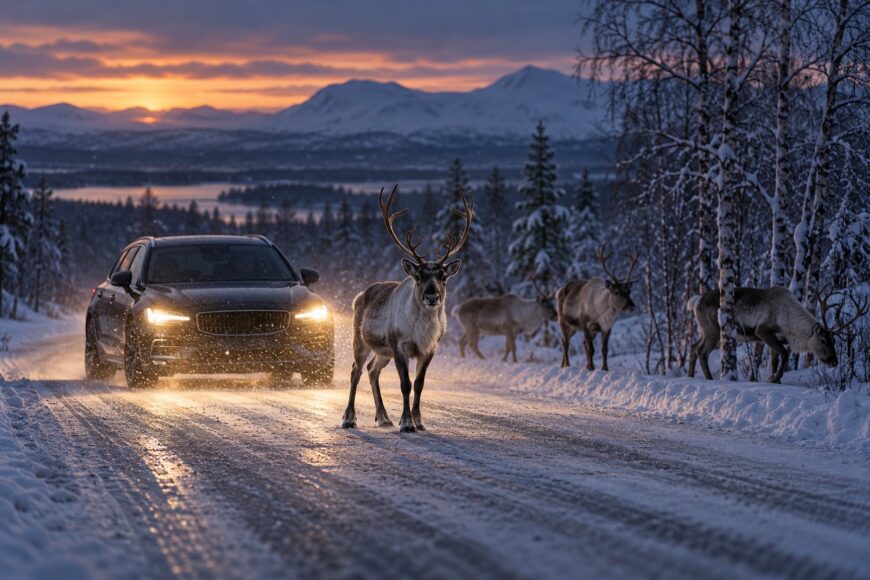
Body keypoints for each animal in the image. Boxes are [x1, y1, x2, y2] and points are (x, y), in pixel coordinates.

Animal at [341, 184, 473, 433]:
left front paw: (419, 421)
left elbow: (419, 384)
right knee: (356, 371)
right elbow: (405, 384)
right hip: (361, 340)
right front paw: (406, 423)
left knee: (372, 370)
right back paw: (349, 418)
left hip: (383, 352)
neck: (422, 330)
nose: (432, 295)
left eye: (443, 277)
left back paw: (383, 417)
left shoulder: (429, 349)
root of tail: (360, 296)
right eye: (419, 276)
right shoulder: (399, 345)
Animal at [686, 286, 861, 383]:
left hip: (705, 331)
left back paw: (690, 376)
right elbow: (784, 354)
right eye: (823, 340)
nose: (834, 361)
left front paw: (775, 378)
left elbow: (777, 358)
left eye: (835, 341)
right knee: (701, 351)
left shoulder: (776, 339)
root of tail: (696, 300)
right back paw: (709, 378)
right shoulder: (763, 331)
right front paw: (775, 378)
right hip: (713, 330)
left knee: (693, 347)